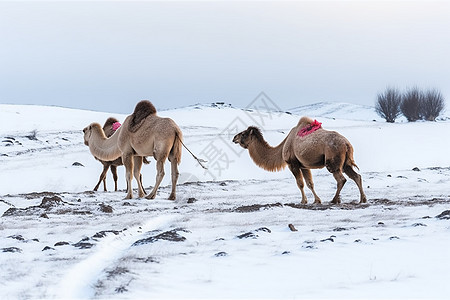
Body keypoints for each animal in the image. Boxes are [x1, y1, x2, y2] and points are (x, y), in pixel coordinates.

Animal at [234, 116, 368, 204]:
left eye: (243, 134)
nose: (234, 138)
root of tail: (346, 144)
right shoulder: (304, 165)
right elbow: (310, 183)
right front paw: (317, 200)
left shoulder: (292, 163)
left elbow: (300, 183)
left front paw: (303, 201)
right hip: (345, 162)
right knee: (356, 176)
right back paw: (362, 199)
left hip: (332, 160)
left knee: (341, 179)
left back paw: (334, 200)